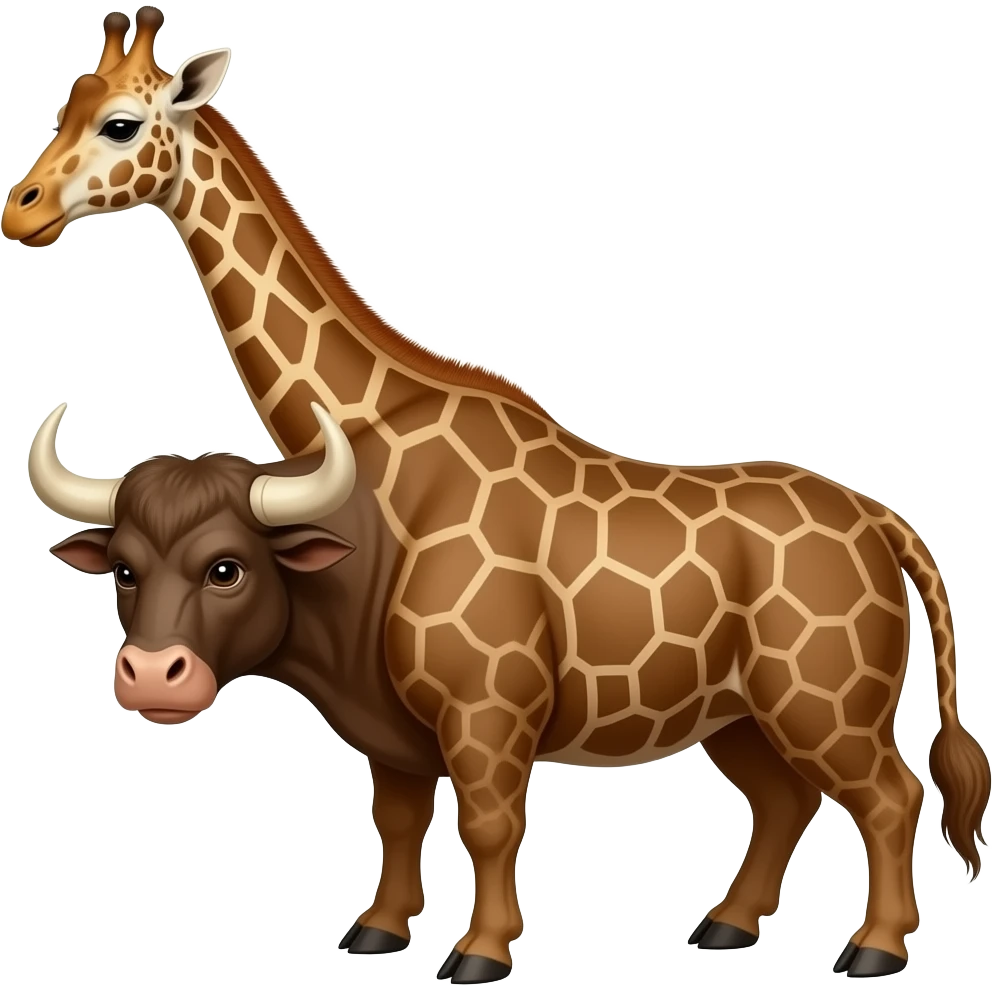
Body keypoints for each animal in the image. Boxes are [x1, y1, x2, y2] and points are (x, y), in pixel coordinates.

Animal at [9, 10, 990, 985]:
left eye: (122, 124)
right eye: (65, 107)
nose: (22, 207)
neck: (373, 434)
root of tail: (886, 523)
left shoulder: (488, 708)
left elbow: (490, 826)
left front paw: (479, 952)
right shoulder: (397, 723)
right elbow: (399, 819)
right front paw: (378, 931)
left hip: (825, 704)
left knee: (891, 794)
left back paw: (874, 946)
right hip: (742, 715)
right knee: (788, 799)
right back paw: (727, 926)